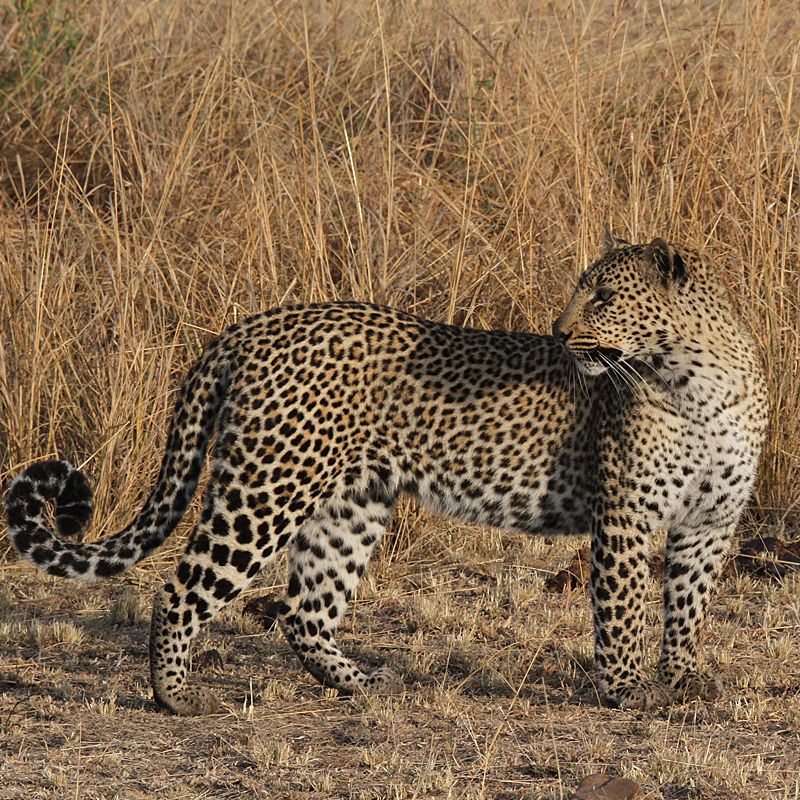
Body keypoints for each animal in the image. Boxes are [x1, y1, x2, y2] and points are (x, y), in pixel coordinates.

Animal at [6, 233, 767, 715]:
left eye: (605, 297)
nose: (557, 332)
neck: (695, 382)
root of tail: (249, 328)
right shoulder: (627, 517)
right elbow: (622, 610)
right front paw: (625, 691)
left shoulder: (710, 524)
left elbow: (688, 609)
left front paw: (681, 681)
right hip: (266, 487)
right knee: (184, 585)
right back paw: (173, 697)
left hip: (351, 502)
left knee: (305, 609)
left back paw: (362, 685)